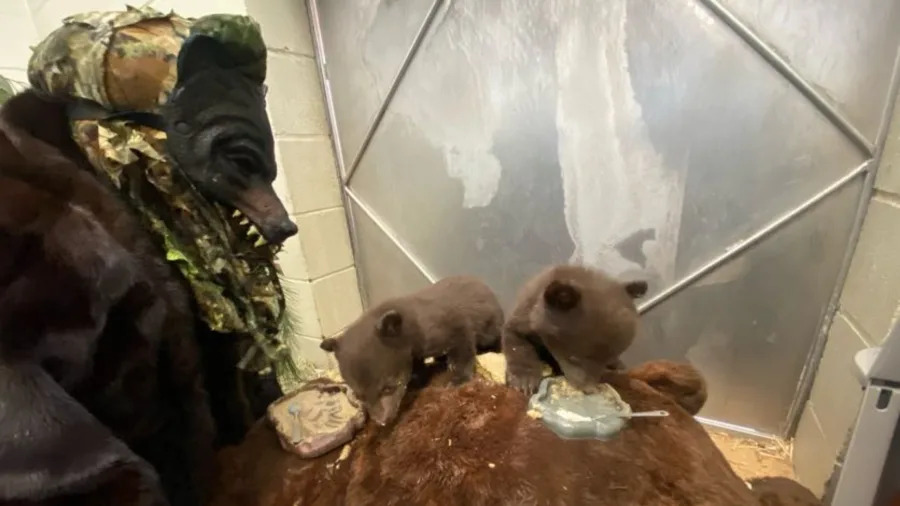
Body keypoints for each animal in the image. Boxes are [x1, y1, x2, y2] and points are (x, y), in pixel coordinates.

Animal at [320, 275, 503, 426]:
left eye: (388, 387)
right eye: (359, 396)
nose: (381, 421)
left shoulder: (455, 326)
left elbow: (463, 351)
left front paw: (458, 380)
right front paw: (418, 377)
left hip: (491, 328)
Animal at [503, 264, 648, 394]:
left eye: (606, 360)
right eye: (574, 358)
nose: (589, 389)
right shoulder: (524, 316)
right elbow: (517, 343)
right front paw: (525, 380)